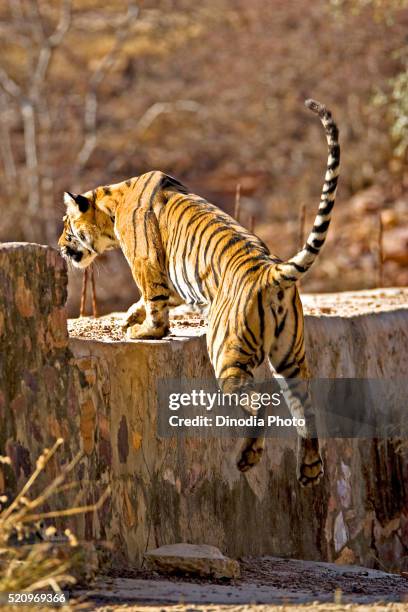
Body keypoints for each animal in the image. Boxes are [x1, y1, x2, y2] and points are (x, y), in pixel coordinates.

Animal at [59, 99, 342, 482]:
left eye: (65, 225)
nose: (60, 246)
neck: (112, 201)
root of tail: (271, 270)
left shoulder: (146, 261)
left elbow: (155, 304)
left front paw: (143, 330)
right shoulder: (172, 274)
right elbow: (151, 298)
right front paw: (131, 316)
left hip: (226, 352)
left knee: (257, 404)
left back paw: (247, 457)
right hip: (291, 357)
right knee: (306, 408)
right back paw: (310, 470)